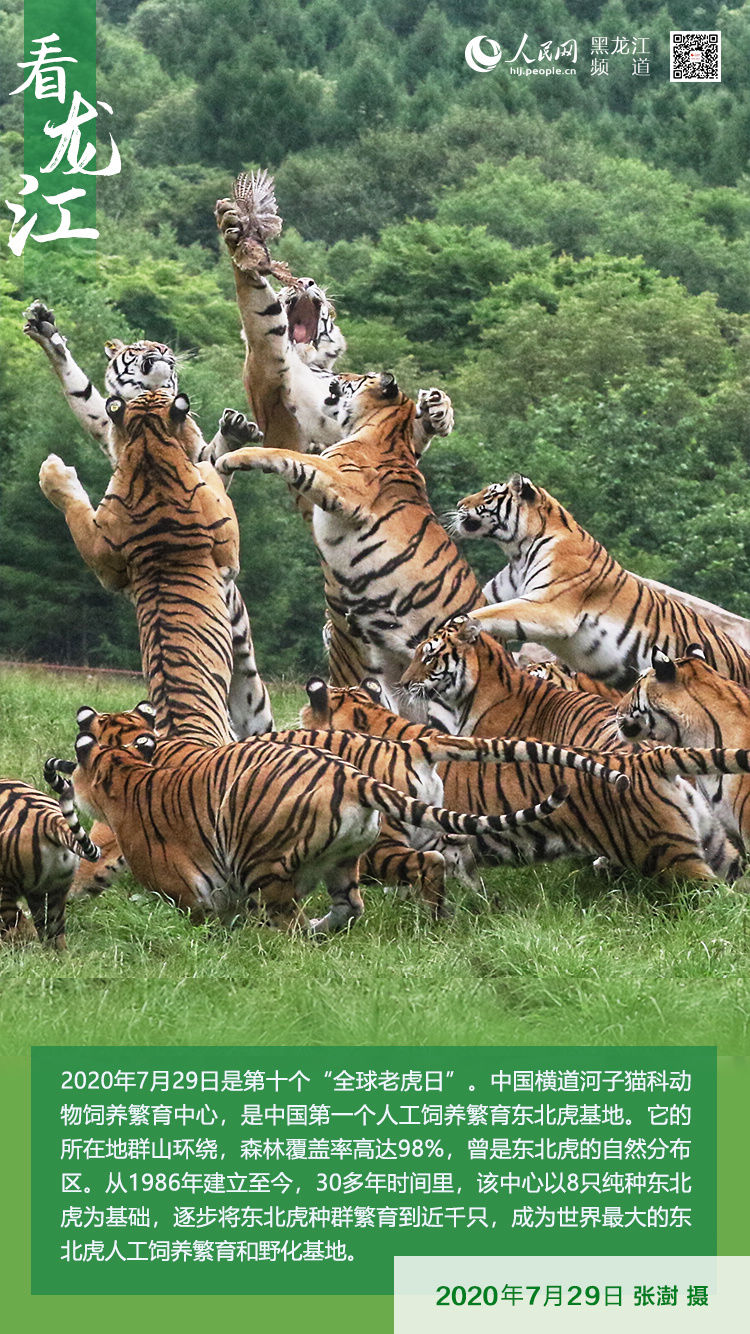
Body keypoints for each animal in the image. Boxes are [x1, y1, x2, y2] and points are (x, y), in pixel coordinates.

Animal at [23, 297, 274, 741]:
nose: (164, 352)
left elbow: (212, 458)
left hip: (251, 685)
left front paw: (235, 430)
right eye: (140, 347)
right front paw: (46, 330)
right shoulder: (109, 424)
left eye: (163, 347)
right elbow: (80, 389)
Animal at [214, 373, 485, 688]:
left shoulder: (339, 481)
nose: (335, 377)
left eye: (360, 377)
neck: (382, 429)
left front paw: (232, 457)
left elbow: (285, 454)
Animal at [453, 474, 747, 688]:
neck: (518, 551)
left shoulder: (551, 607)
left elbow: (492, 612)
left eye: (489, 494)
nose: (458, 505)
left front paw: (464, 624)